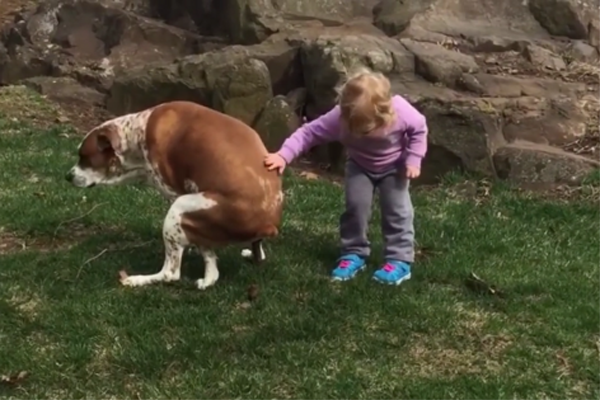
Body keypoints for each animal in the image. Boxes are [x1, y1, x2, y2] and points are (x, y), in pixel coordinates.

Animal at [64, 99, 284, 288]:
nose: (67, 176)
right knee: (247, 258)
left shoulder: (175, 193)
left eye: (84, 157)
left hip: (177, 209)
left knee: (171, 273)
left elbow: (205, 253)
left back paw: (138, 280)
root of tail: (268, 224)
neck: (137, 133)